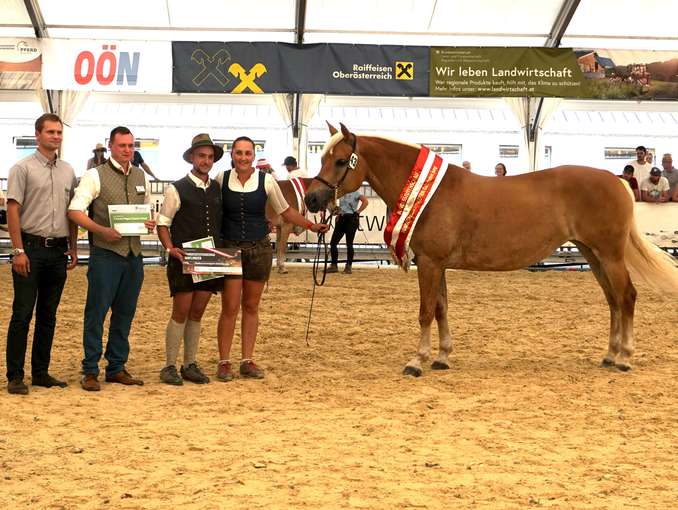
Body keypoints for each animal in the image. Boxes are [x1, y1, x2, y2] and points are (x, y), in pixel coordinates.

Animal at [306, 124, 678, 374]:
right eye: (323, 156)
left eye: (340, 161)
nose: (311, 199)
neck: (429, 193)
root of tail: (615, 180)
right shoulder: (436, 263)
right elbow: (441, 308)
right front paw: (442, 357)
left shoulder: (429, 263)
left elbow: (425, 311)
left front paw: (417, 360)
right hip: (592, 253)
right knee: (613, 300)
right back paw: (610, 355)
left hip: (610, 254)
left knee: (626, 297)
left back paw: (625, 357)